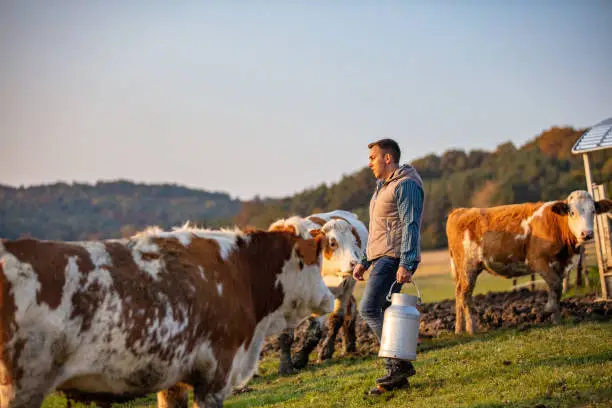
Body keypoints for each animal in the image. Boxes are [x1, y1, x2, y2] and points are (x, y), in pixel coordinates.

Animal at [268, 212, 368, 374]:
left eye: (354, 242)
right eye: (333, 243)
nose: (355, 264)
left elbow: (314, 332)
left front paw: (300, 359)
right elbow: (285, 335)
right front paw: (285, 366)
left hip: (346, 288)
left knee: (337, 318)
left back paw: (328, 350)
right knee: (351, 307)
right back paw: (348, 346)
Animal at [444, 190, 612, 334]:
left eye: (593, 211)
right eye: (572, 212)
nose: (587, 234)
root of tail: (460, 211)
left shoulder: (560, 265)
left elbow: (555, 289)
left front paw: (556, 319)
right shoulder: (538, 260)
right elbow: (556, 285)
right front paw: (548, 310)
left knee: (458, 293)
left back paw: (459, 329)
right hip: (468, 267)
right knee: (465, 294)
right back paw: (472, 329)